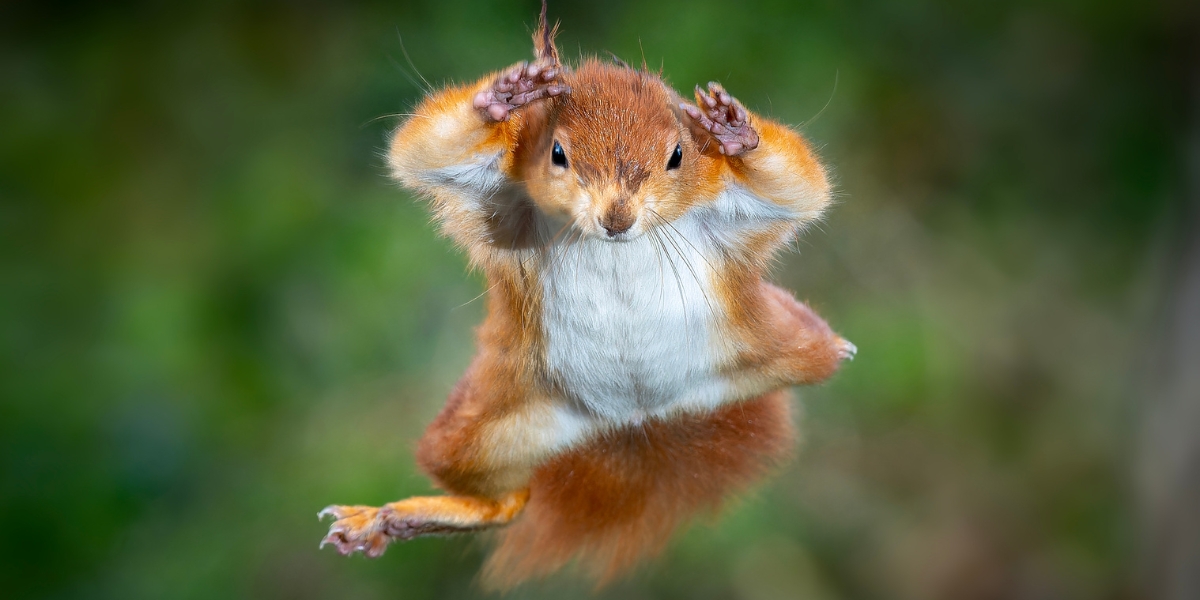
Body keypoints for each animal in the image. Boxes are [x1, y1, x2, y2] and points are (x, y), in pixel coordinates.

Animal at [319, 2, 854, 590]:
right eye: (557, 152)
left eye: (677, 155)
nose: (616, 219)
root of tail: (634, 419)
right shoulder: (502, 199)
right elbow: (424, 149)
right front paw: (504, 96)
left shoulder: (729, 210)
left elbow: (799, 188)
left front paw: (735, 131)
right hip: (488, 425)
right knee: (505, 501)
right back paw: (389, 519)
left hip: (767, 346)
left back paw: (837, 345)